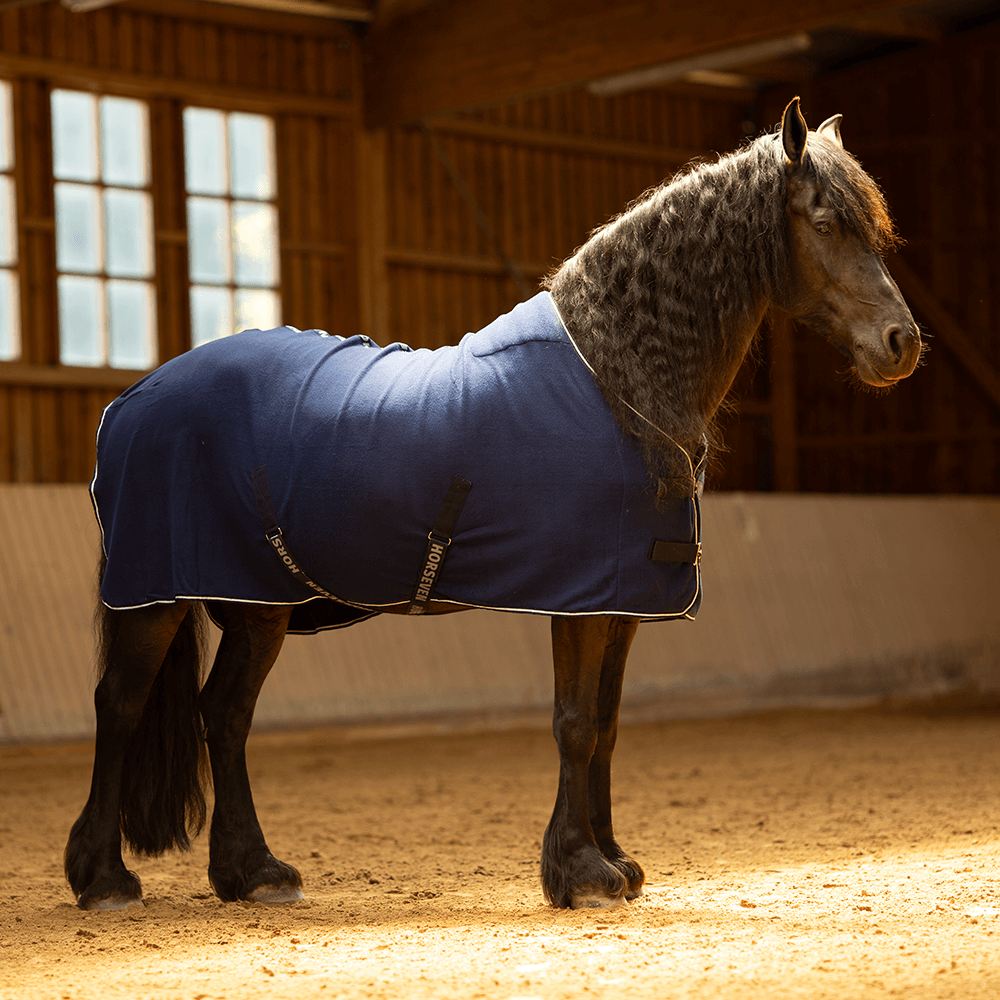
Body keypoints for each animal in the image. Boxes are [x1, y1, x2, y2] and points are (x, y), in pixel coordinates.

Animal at [65, 98, 921, 912]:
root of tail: (135, 399)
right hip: (159, 595)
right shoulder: (580, 601)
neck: (619, 378)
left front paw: (614, 860)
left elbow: (607, 726)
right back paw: (104, 878)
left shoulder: (622, 604)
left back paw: (253, 872)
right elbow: (575, 725)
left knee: (225, 713)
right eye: (824, 223)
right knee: (123, 705)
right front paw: (580, 873)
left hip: (256, 603)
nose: (901, 343)